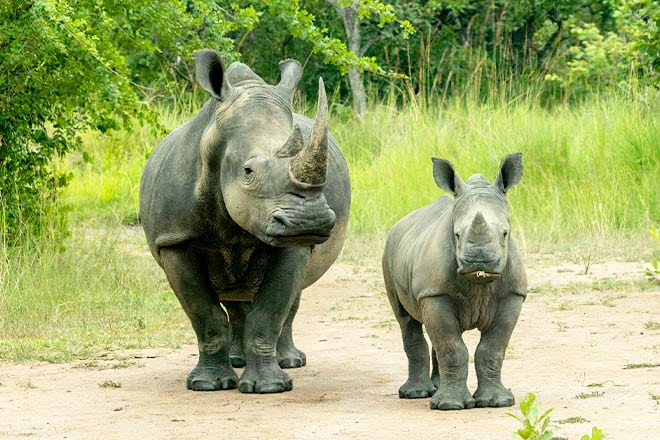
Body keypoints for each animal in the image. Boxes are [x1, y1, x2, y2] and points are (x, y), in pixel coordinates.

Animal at [140, 49, 350, 394]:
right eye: (248, 172)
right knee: (234, 297)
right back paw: (237, 361)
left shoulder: (294, 244)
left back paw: (289, 361)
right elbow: (205, 314)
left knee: (287, 297)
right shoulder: (174, 240)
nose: (308, 221)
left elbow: (270, 311)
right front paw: (207, 384)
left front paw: (270, 387)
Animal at [382, 153, 524, 410]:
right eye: (457, 235)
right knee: (406, 321)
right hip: (388, 250)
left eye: (505, 233)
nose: (480, 261)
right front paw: (450, 406)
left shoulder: (513, 295)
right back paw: (416, 393)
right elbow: (452, 347)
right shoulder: (434, 292)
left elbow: (493, 348)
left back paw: (435, 387)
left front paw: (497, 402)